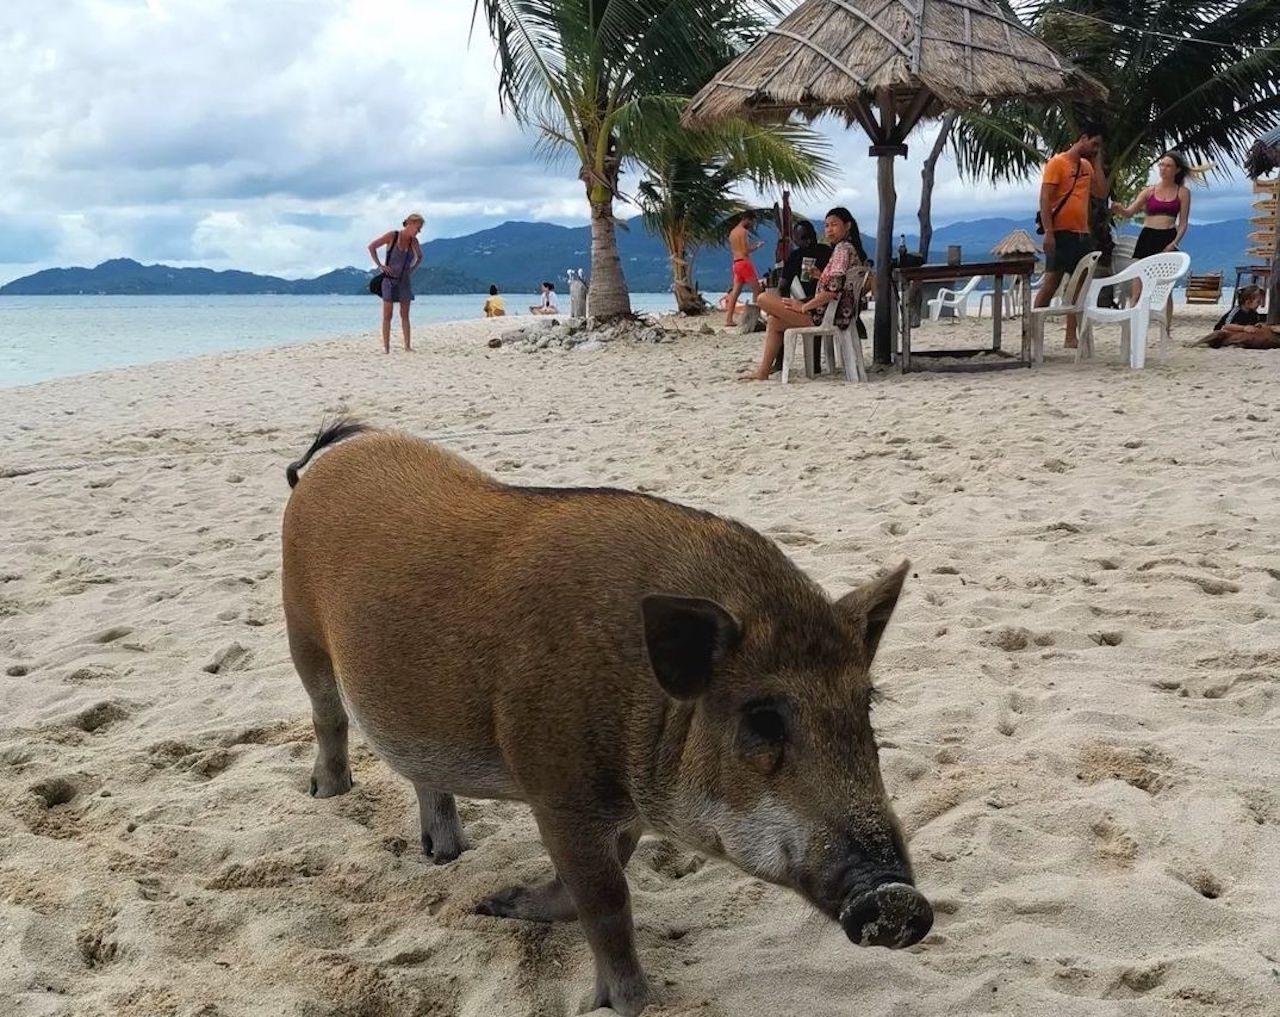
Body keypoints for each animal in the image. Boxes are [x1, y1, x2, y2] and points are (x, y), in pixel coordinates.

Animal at [281, 421, 931, 1016]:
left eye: (866, 705)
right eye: (763, 718)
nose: (900, 898)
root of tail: (323, 464)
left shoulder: (620, 810)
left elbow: (604, 875)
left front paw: (497, 903)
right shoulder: (558, 792)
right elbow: (607, 898)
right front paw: (627, 1003)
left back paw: (447, 856)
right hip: (300, 630)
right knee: (327, 714)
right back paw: (327, 794)